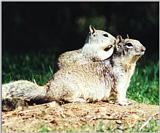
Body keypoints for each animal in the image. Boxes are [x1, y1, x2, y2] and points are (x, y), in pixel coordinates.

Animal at [1, 35, 146, 110]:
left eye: (139, 41)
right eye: (128, 44)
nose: (144, 48)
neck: (128, 65)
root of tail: (48, 88)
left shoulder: (126, 82)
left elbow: (124, 92)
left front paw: (127, 100)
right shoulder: (118, 80)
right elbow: (119, 93)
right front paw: (123, 102)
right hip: (72, 89)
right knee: (64, 99)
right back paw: (81, 100)